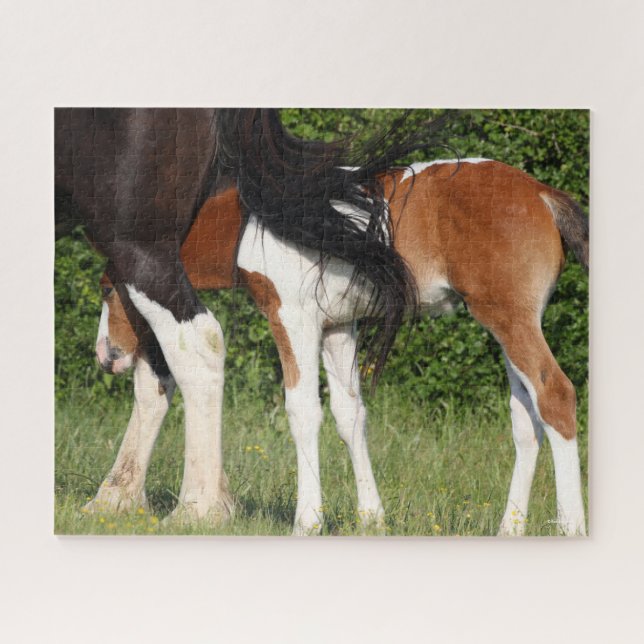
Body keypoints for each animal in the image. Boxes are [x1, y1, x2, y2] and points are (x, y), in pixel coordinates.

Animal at [55, 108, 440, 525]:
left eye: (106, 290)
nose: (106, 356)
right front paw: (120, 498)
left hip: (138, 243)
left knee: (199, 346)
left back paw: (198, 507)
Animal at [94, 158, 589, 536]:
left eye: (107, 289)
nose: (105, 355)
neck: (252, 222)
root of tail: (541, 194)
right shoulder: (337, 327)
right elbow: (351, 416)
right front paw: (371, 518)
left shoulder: (294, 318)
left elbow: (303, 412)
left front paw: (307, 521)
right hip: (507, 325)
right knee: (526, 419)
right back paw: (511, 527)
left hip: (509, 319)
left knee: (556, 395)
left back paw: (570, 526)